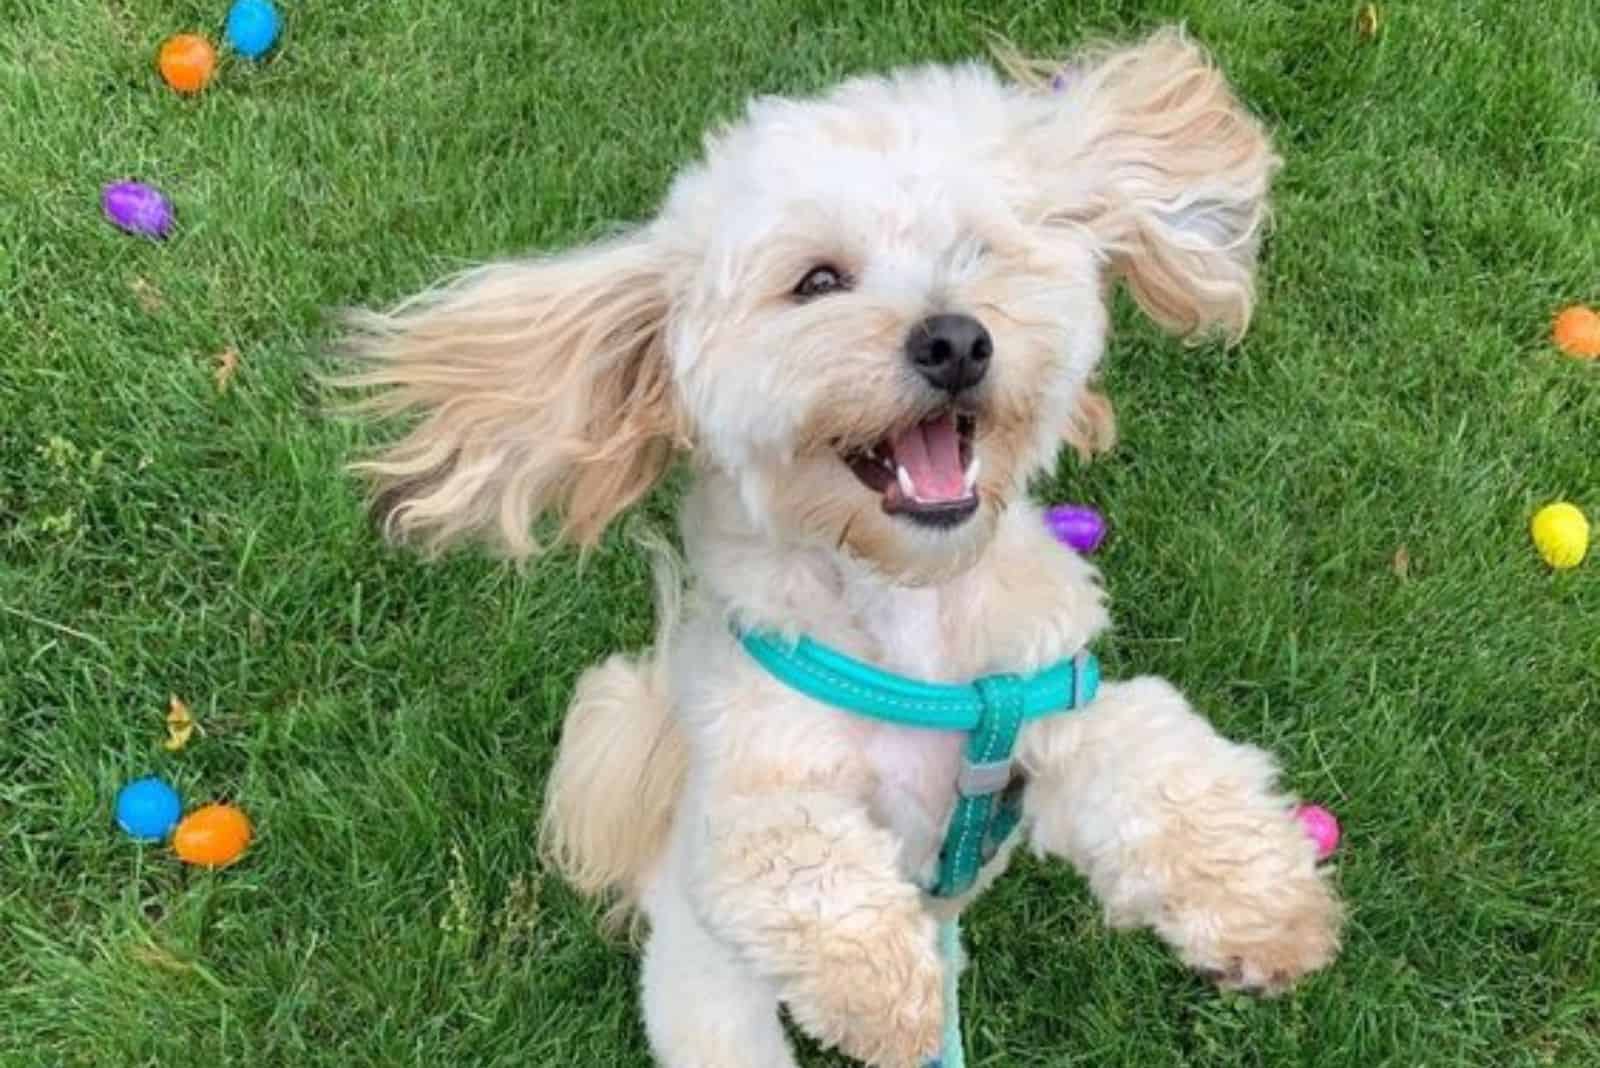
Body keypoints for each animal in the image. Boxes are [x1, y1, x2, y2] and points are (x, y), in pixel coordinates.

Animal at [344, 27, 1344, 1068]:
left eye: (978, 251)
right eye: (817, 281)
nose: (955, 341)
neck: (907, 612)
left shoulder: (1043, 705)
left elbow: (1156, 755)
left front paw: (1262, 905)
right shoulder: (751, 790)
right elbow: (798, 860)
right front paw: (887, 997)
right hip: (710, 1006)